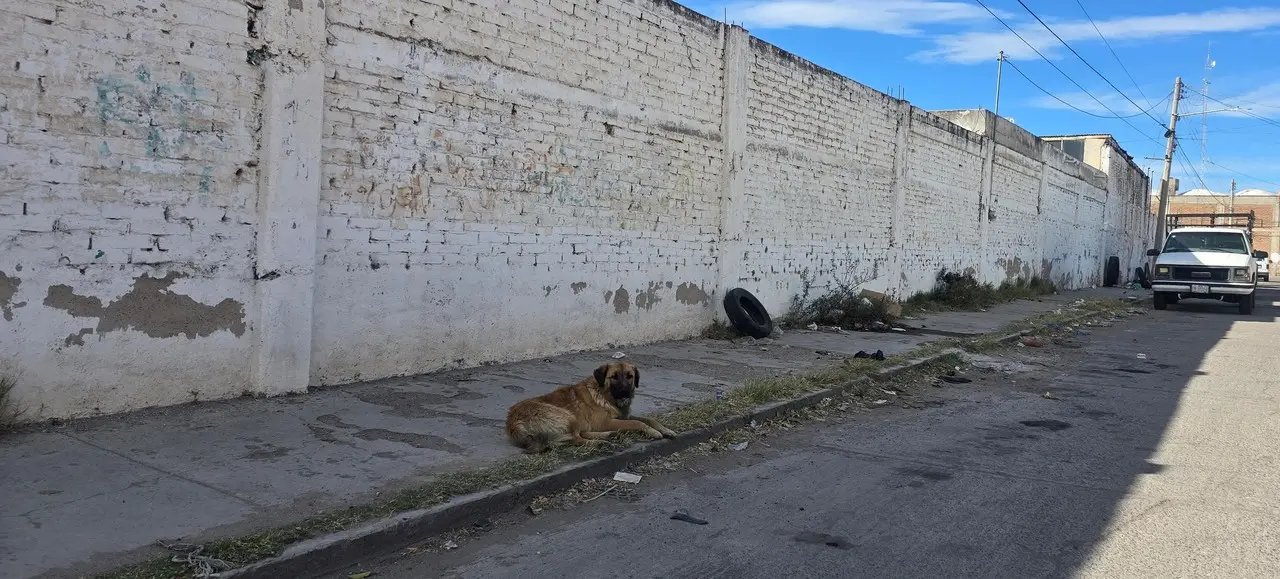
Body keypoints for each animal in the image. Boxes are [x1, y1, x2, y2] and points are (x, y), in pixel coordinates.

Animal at [504, 361, 680, 453]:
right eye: (614, 377)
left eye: (630, 376)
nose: (625, 391)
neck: (604, 394)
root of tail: (513, 423)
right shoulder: (605, 422)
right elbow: (638, 422)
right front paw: (653, 432)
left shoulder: (623, 416)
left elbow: (649, 419)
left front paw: (666, 429)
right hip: (567, 416)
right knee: (576, 438)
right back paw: (601, 442)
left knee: (579, 435)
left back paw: (610, 436)